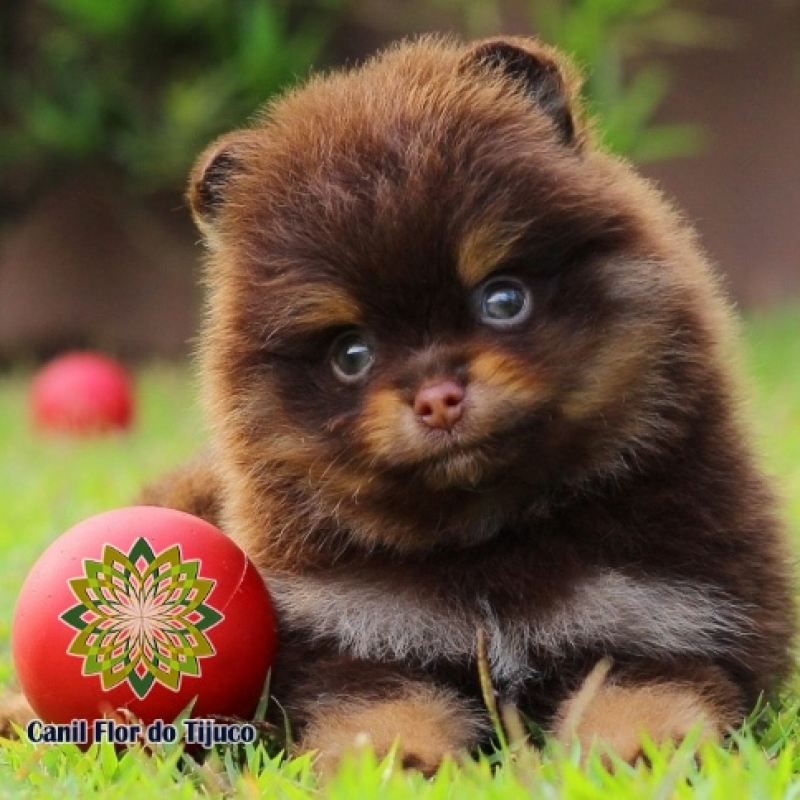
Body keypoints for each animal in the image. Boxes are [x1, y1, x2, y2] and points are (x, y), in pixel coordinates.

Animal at [7, 36, 800, 768]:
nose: (438, 399)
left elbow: (644, 694)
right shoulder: (353, 633)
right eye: (350, 354)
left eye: (502, 299)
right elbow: (383, 710)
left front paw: (635, 754)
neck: (488, 536)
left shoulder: (672, 616)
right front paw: (397, 761)